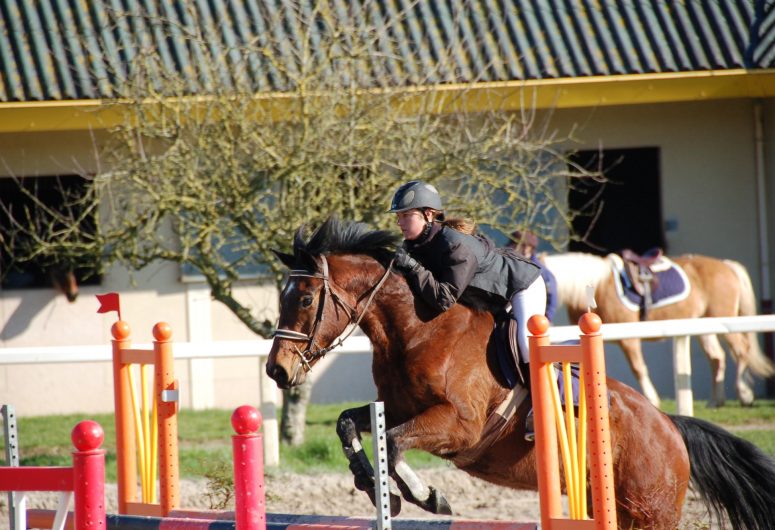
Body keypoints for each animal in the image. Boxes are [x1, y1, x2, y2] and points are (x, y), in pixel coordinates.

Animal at [540, 250, 775, 406]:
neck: (597, 286)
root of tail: (727, 265)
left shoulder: (628, 339)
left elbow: (638, 368)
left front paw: (652, 399)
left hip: (722, 321)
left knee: (741, 350)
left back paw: (744, 394)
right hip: (705, 326)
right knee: (717, 357)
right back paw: (715, 401)